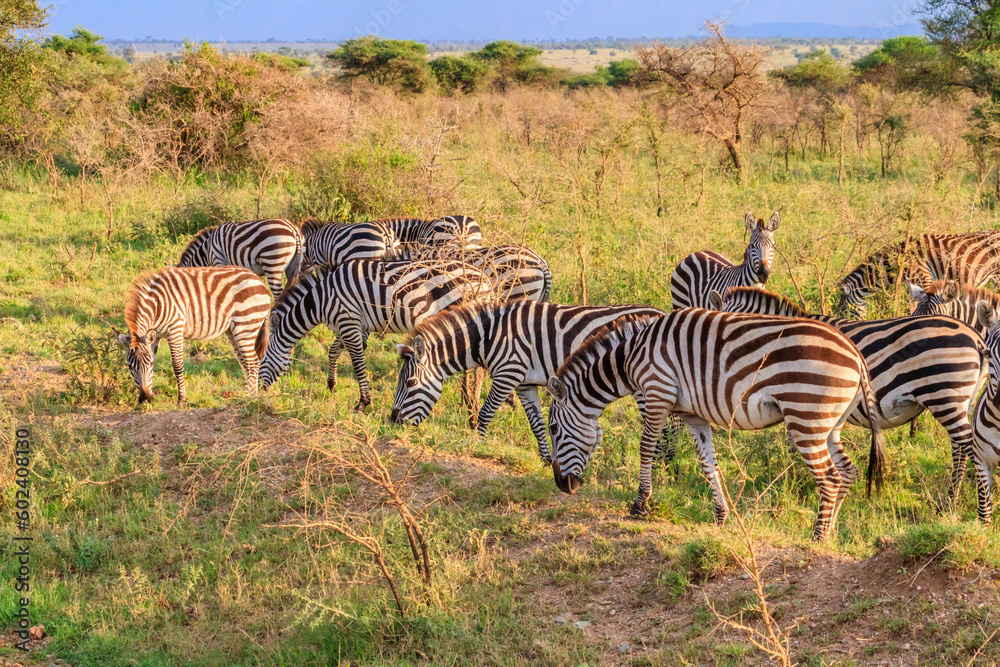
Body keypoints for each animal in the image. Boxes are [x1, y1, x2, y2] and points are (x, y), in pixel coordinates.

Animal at [112, 266, 271, 405]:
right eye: (129, 366)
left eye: (148, 364)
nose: (146, 398)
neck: (157, 306)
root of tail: (259, 281)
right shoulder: (154, 337)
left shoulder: (175, 329)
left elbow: (177, 366)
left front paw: (182, 400)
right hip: (233, 331)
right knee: (249, 363)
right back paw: (254, 397)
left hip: (245, 325)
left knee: (253, 362)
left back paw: (246, 396)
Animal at [259, 258, 492, 411]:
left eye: (264, 359)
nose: (259, 391)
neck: (322, 298)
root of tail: (484, 278)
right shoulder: (351, 323)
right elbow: (333, 351)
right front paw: (332, 385)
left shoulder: (348, 321)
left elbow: (358, 363)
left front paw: (362, 402)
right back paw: (469, 402)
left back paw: (471, 404)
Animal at [389, 301, 664, 462]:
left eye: (410, 383)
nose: (392, 422)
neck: (488, 337)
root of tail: (661, 313)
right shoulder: (524, 383)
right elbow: (537, 424)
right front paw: (546, 460)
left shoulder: (508, 372)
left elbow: (486, 413)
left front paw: (477, 446)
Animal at [545, 309, 887, 542]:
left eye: (553, 430)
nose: (562, 485)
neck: (631, 357)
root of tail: (854, 352)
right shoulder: (692, 414)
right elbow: (708, 463)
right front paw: (721, 516)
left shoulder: (656, 392)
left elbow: (646, 449)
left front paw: (640, 504)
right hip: (829, 425)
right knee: (847, 473)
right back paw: (829, 535)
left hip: (805, 417)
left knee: (829, 478)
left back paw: (816, 538)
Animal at [711, 286, 988, 504]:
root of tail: (975, 336)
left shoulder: (798, 396)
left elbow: (793, 443)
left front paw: (794, 482)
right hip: (961, 401)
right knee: (960, 449)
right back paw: (951, 501)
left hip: (945, 396)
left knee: (969, 448)